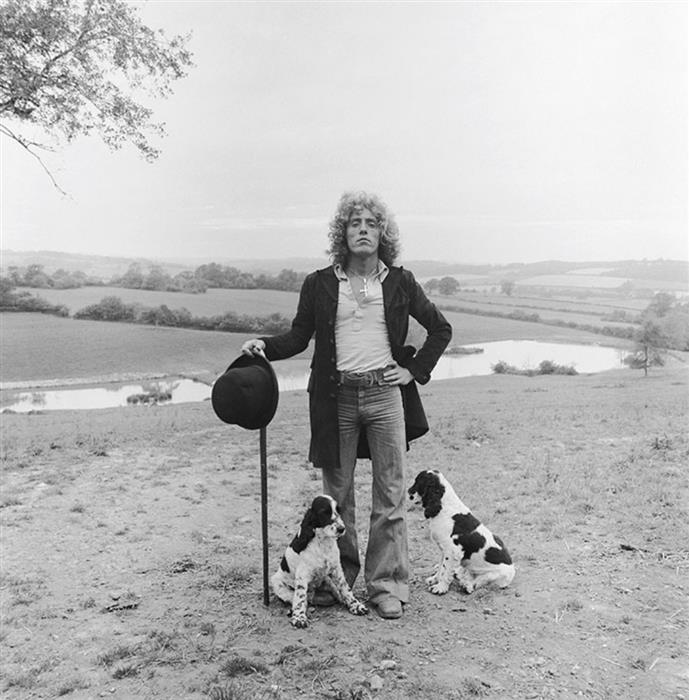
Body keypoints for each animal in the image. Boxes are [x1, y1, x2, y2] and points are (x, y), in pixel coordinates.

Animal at [268, 492, 368, 628]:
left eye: (338, 510)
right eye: (324, 512)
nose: (341, 529)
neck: (323, 543)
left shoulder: (336, 569)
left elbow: (345, 588)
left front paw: (356, 605)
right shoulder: (302, 575)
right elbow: (300, 598)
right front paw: (299, 618)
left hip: (327, 579)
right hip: (278, 584)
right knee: (300, 599)